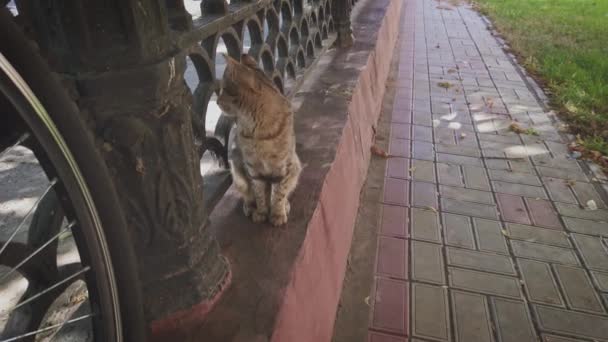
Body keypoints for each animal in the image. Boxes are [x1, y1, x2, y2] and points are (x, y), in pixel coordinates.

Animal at [216, 54, 302, 227]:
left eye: (224, 89)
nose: (216, 101)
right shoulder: (253, 169)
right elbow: (260, 194)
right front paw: (261, 212)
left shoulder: (283, 168)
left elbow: (279, 193)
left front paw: (277, 213)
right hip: (237, 168)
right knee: (248, 194)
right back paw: (250, 206)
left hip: (296, 167)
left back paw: (285, 205)